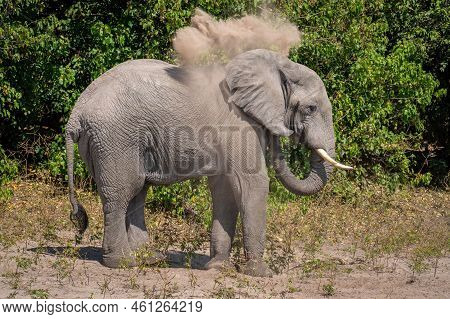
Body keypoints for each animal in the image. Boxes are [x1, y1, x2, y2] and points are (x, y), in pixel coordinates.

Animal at [65, 47, 352, 278]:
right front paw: (262, 274)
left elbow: (225, 189)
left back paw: (151, 258)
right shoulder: (238, 123)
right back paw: (122, 263)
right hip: (114, 138)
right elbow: (252, 183)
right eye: (311, 108)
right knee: (123, 192)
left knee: (138, 191)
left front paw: (217, 267)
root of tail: (76, 113)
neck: (275, 65)